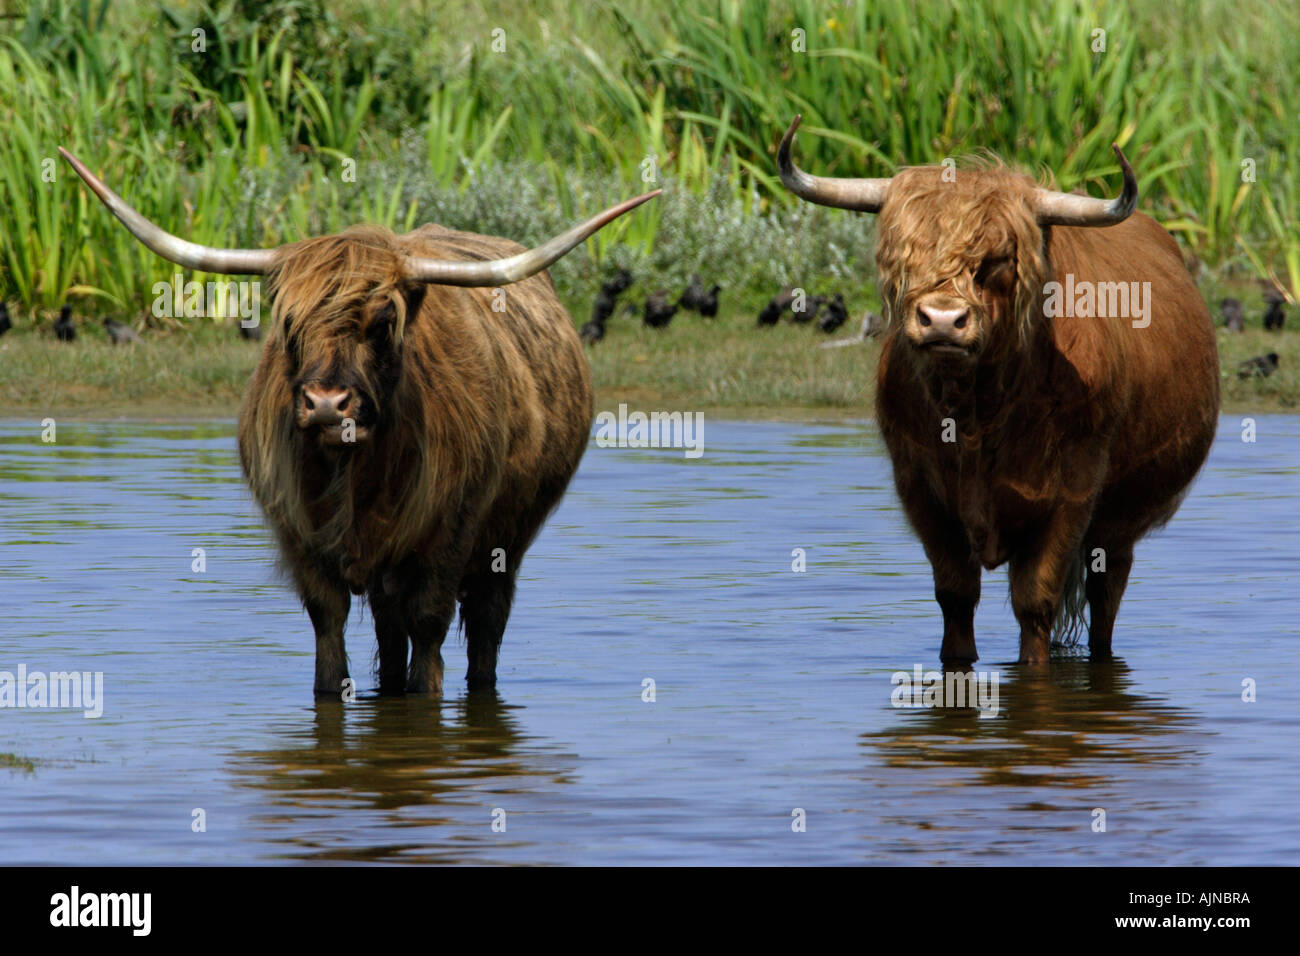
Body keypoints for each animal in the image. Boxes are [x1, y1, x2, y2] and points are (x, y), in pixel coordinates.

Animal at [61, 143, 655, 697]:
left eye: (383, 321)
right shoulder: (300, 539)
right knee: (391, 637)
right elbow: (330, 636)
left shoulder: (451, 534)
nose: (327, 404)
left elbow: (430, 639)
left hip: (505, 543)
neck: (355, 475)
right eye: (288, 322)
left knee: (484, 627)